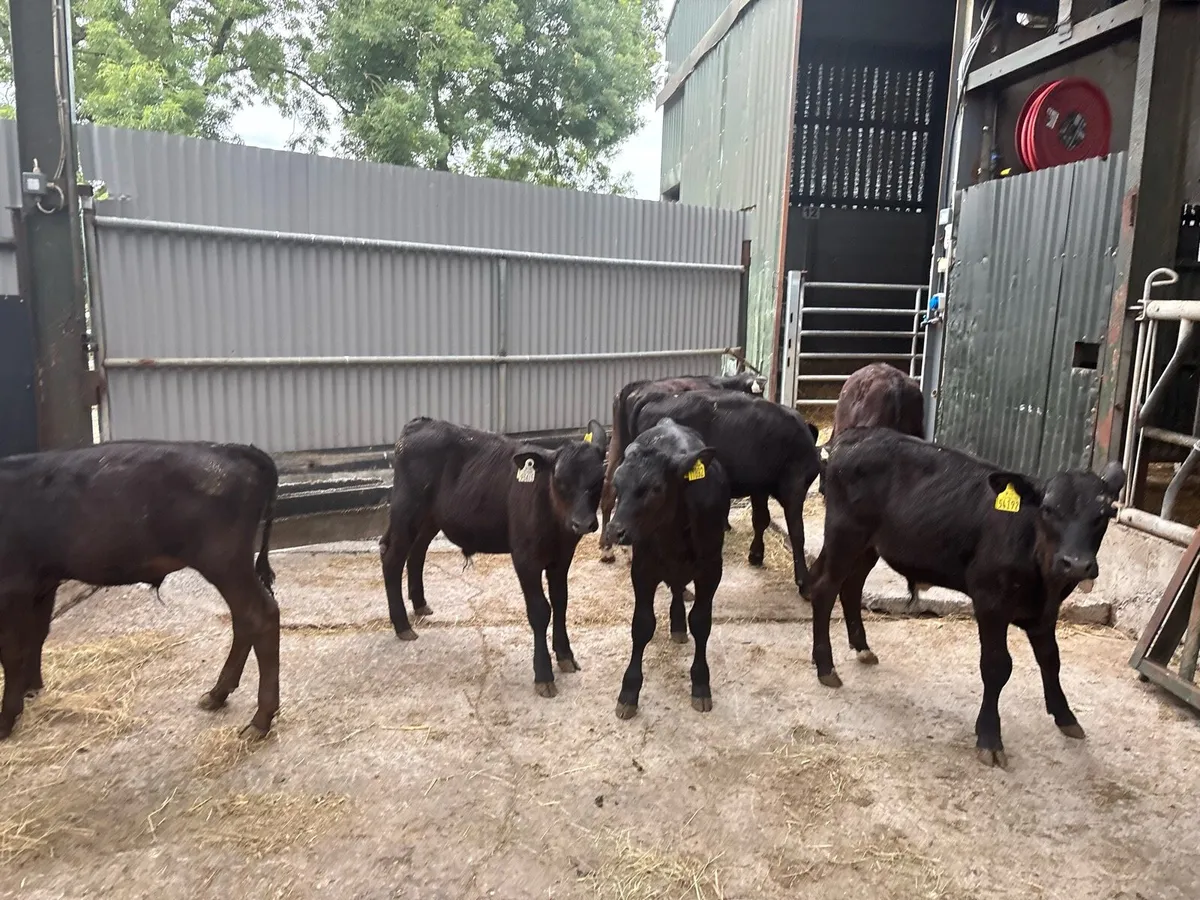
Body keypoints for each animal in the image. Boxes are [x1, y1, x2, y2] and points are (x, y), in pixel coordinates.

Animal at [0, 441, 280, 741]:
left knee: (260, 615)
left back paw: (260, 720)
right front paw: (32, 691)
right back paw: (217, 694)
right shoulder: (43, 581)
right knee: (244, 619)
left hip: (222, 561)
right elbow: (36, 636)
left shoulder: (12, 585)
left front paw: (6, 719)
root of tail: (233, 449)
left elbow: (12, 651)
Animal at [380, 417, 608, 697]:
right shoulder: (525, 557)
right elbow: (540, 610)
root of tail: (422, 422)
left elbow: (561, 602)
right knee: (392, 557)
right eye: (559, 479)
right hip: (406, 510)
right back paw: (402, 625)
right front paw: (543, 674)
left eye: (599, 479)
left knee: (417, 551)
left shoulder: (562, 557)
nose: (583, 523)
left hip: (430, 517)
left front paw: (565, 655)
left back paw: (420, 604)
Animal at [603, 419, 731, 718]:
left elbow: (701, 622)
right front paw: (629, 692)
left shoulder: (712, 570)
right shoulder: (642, 569)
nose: (614, 531)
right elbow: (642, 625)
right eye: (618, 483)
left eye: (655, 488)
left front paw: (701, 684)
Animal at [612, 390, 821, 598]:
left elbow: (761, 519)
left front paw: (756, 555)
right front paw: (803, 581)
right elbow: (797, 532)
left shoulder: (759, 487)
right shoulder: (795, 485)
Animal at [808, 427, 1125, 768]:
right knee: (825, 588)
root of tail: (854, 436)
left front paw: (1066, 717)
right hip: (845, 533)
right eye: (1049, 510)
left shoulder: (1045, 610)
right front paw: (989, 737)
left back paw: (862, 648)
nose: (1076, 564)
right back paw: (826, 667)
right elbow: (997, 666)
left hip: (870, 545)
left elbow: (1051, 659)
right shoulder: (990, 600)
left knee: (851, 586)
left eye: (1105, 513)